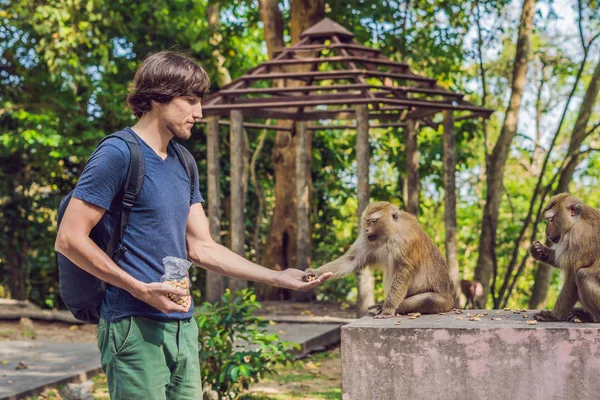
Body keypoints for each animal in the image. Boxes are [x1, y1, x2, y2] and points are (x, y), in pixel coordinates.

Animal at [302, 202, 452, 318]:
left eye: (373, 221)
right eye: (367, 221)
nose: (366, 230)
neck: (391, 232)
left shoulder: (407, 241)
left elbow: (403, 269)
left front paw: (388, 309)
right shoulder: (367, 240)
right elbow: (352, 259)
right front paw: (315, 272)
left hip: (442, 303)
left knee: (429, 298)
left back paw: (384, 307)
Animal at [528, 193, 600, 322]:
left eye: (551, 220)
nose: (547, 232)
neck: (576, 220)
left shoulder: (576, 239)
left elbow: (572, 276)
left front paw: (553, 316)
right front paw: (539, 251)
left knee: (582, 275)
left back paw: (590, 318)